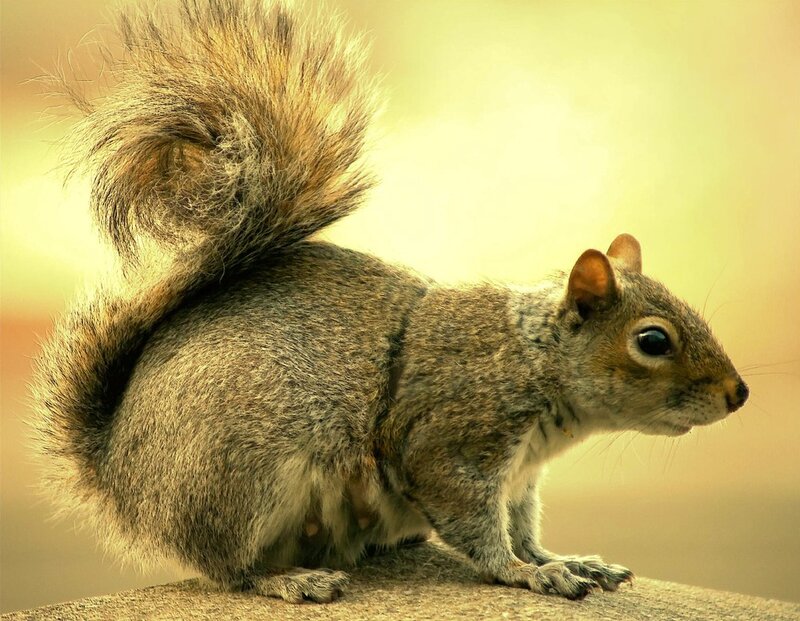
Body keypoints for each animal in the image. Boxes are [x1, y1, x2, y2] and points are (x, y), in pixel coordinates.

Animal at [31, 0, 749, 605]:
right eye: (652, 340)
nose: (738, 393)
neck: (532, 358)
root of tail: (121, 475)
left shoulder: (521, 477)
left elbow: (523, 525)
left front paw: (561, 558)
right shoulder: (450, 438)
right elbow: (477, 525)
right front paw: (526, 572)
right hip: (242, 477)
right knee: (229, 567)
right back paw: (290, 578)